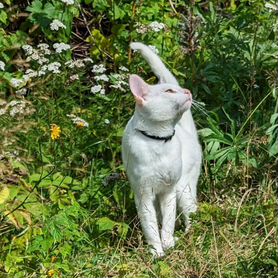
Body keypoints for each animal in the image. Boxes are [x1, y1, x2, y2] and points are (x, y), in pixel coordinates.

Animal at [121, 41, 202, 256]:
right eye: (169, 92)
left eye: (179, 89)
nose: (188, 91)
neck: (159, 141)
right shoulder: (143, 195)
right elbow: (150, 226)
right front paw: (157, 251)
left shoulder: (169, 191)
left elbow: (168, 223)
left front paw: (168, 243)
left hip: (184, 187)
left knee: (192, 212)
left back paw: (190, 235)